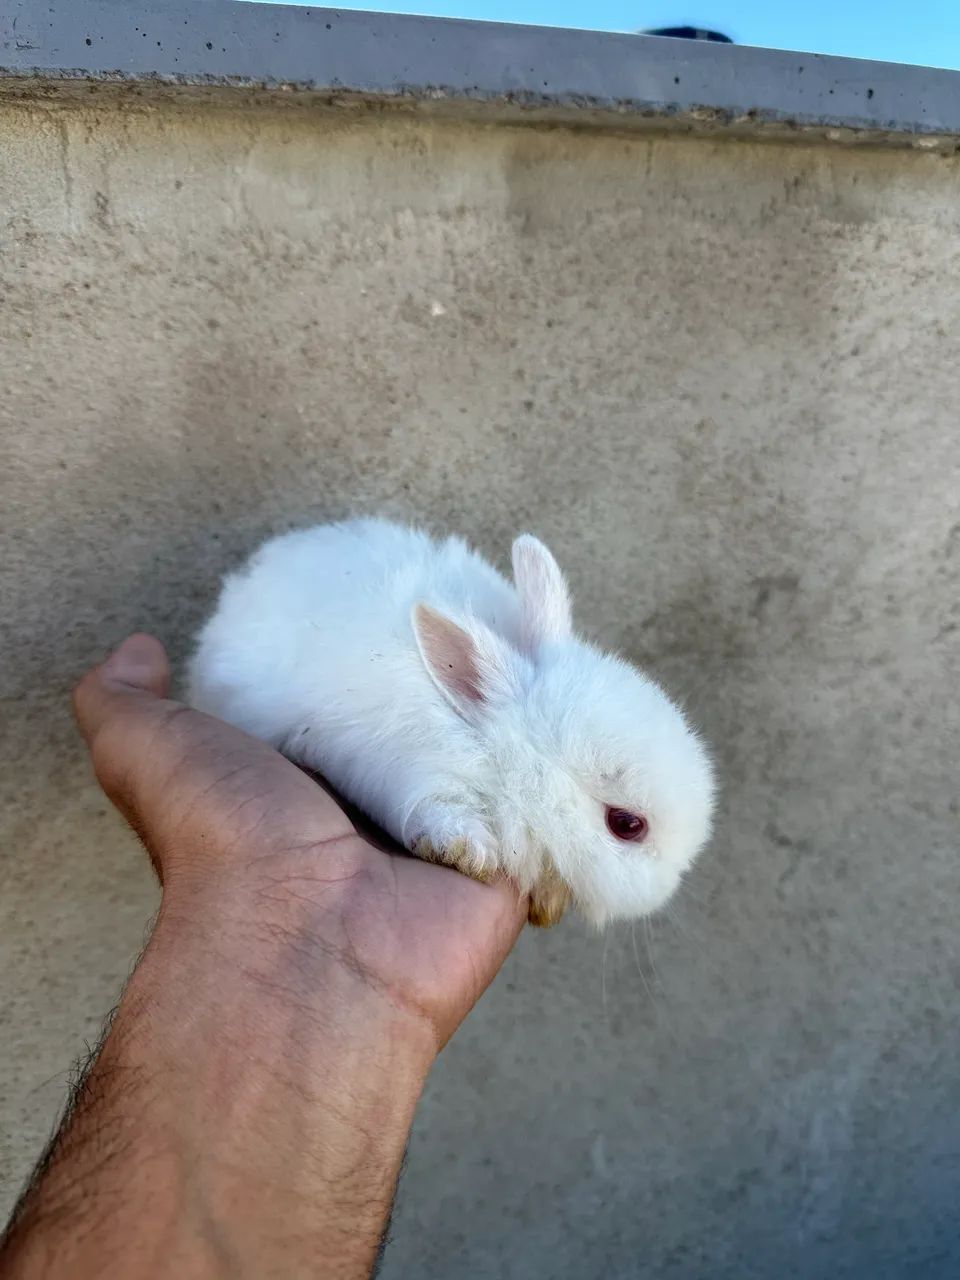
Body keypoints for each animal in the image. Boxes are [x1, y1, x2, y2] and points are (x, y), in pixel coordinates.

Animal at [187, 518, 715, 928]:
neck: (495, 752)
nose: (668, 886)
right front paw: (470, 853)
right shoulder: (411, 774)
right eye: (626, 825)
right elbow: (435, 811)